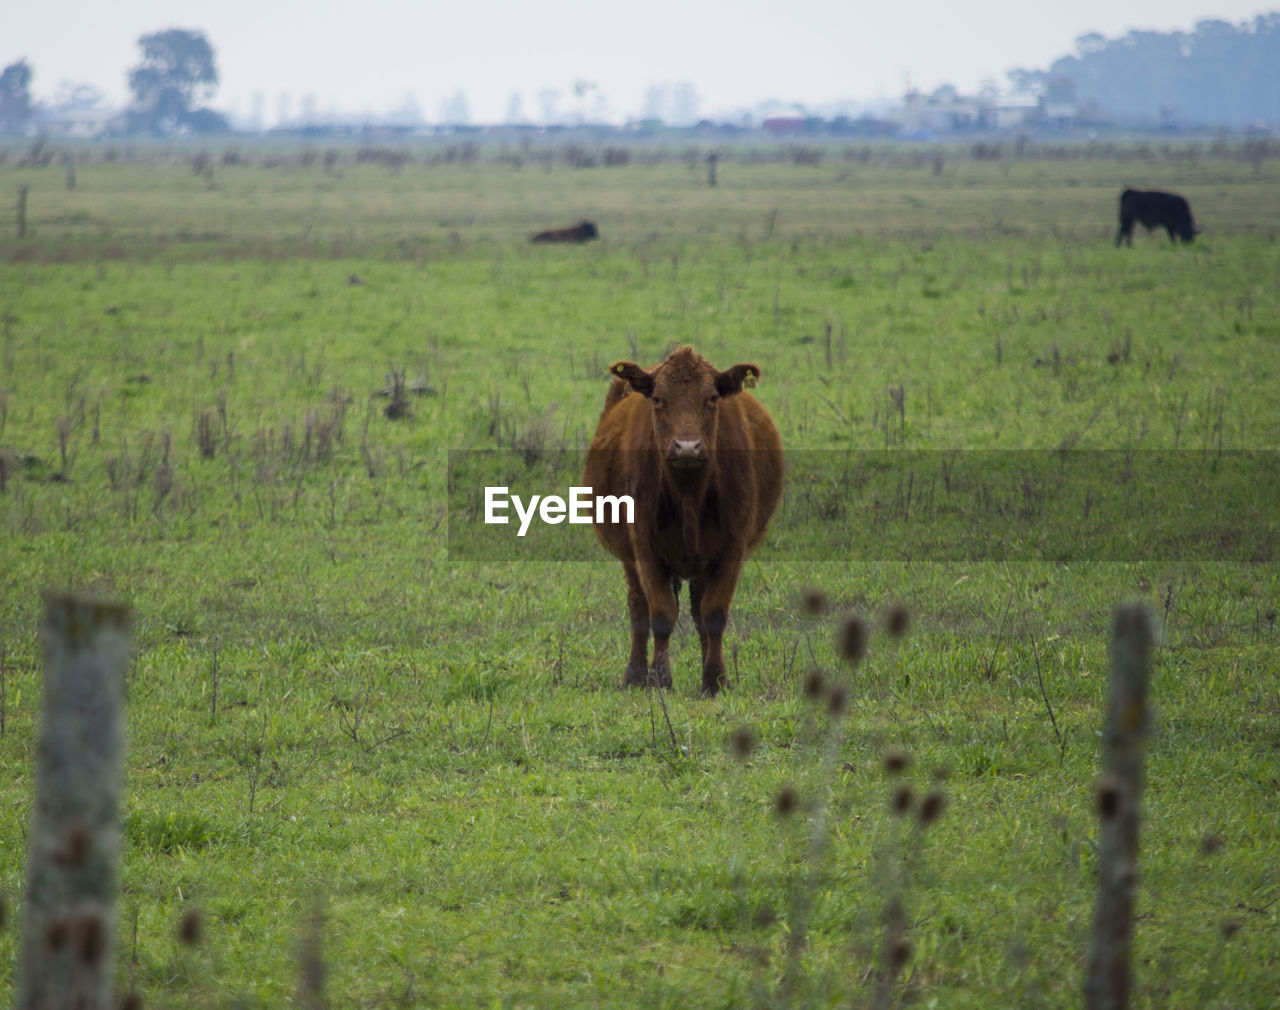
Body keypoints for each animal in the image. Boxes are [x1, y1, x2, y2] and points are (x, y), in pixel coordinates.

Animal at [586, 345, 783, 691]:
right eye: (658, 399)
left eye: (712, 398)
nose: (688, 448)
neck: (689, 493)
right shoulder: (645, 547)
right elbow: (661, 614)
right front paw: (659, 679)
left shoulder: (733, 546)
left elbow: (713, 614)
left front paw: (715, 680)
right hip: (629, 556)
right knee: (639, 606)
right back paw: (634, 675)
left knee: (698, 610)